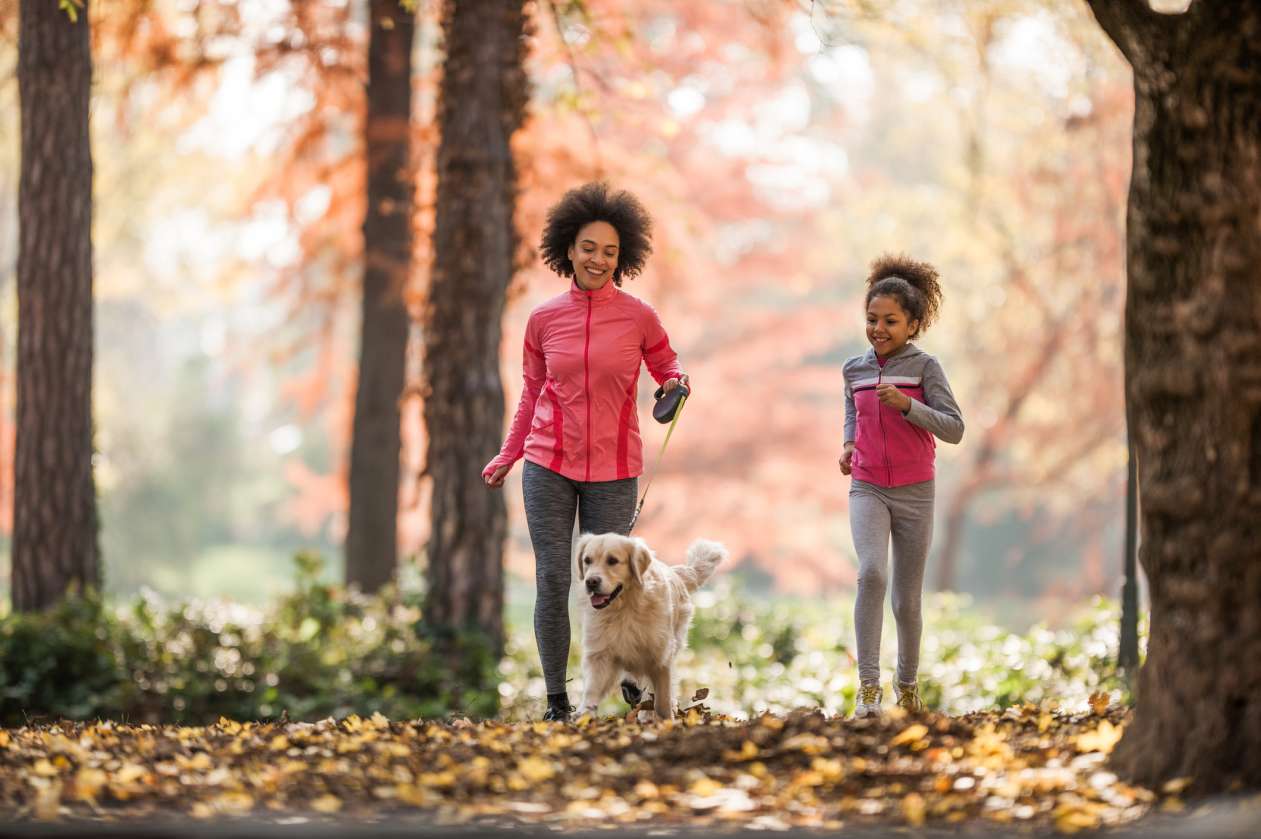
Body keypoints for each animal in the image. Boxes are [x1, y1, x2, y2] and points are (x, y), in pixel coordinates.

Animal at [569, 529, 721, 721]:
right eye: (587, 560)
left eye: (612, 560)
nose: (591, 582)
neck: (624, 608)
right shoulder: (600, 653)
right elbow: (592, 689)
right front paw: (584, 714)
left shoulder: (660, 658)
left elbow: (662, 700)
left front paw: (666, 721)